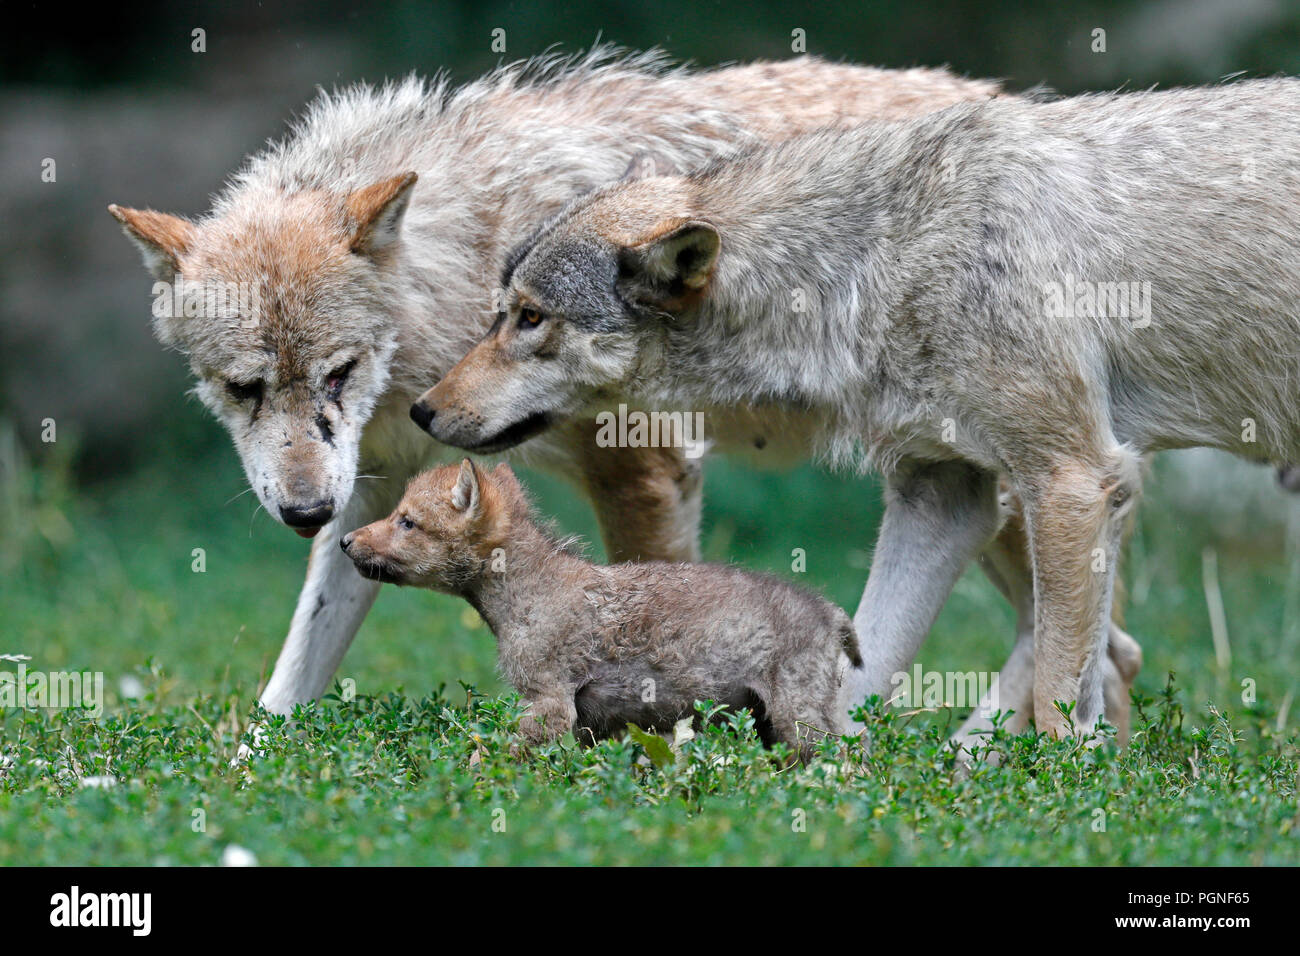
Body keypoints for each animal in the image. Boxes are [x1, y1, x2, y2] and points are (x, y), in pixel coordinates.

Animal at [343, 457, 863, 764]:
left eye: (407, 522)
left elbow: (489, 752)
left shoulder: (549, 703)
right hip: (772, 724)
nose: (346, 540)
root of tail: (833, 614)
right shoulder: (592, 724)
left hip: (801, 719)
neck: (528, 592)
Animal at [416, 80, 1300, 738]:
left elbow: (1056, 696)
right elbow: (852, 668)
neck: (878, 259)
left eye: (530, 319)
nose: (424, 411)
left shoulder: (1074, 478)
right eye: (499, 311)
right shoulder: (943, 493)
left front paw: (1068, 796)